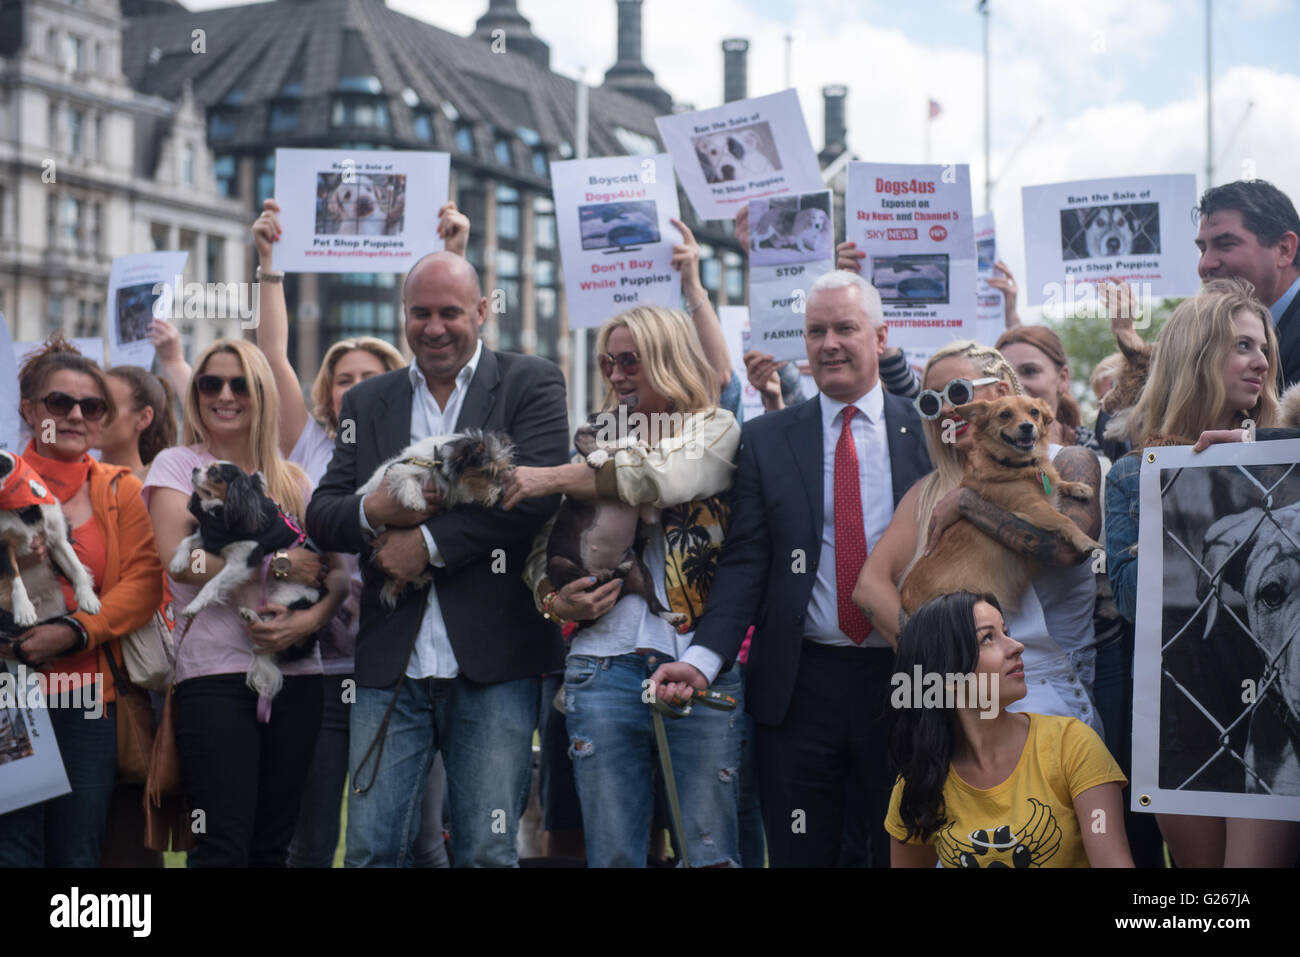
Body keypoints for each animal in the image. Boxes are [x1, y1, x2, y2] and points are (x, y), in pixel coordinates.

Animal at [0, 449, 98, 634]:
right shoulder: (3, 545)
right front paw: (24, 610)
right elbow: (14, 577)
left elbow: (76, 566)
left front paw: (88, 598)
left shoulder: (57, 537)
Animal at [171, 462, 321, 702]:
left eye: (214, 472)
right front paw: (178, 562)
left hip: (288, 598)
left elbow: (211, 584)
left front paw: (194, 605)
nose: (194, 468)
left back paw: (251, 616)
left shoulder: (242, 562)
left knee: (270, 627)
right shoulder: (209, 538)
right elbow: (187, 540)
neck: (221, 514)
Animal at [361, 429, 517, 605]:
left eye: (503, 468)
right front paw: (415, 500)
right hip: (378, 548)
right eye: (488, 471)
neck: (438, 463)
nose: (503, 493)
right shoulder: (403, 469)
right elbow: (404, 477)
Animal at [904, 395, 1097, 613]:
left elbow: (1057, 483)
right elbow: (1064, 520)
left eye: (1034, 412)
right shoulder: (1031, 507)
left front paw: (1077, 486)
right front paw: (1085, 540)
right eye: (1005, 414)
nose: (1027, 426)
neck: (1017, 464)